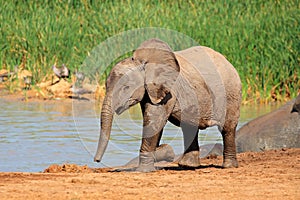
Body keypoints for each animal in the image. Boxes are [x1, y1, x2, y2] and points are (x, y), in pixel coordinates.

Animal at [94, 38, 241, 172]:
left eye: (126, 87)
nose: (96, 160)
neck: (144, 63)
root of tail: (228, 62)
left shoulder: (169, 90)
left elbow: (154, 121)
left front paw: (143, 170)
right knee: (189, 127)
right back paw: (187, 166)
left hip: (231, 92)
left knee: (227, 128)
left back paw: (228, 166)